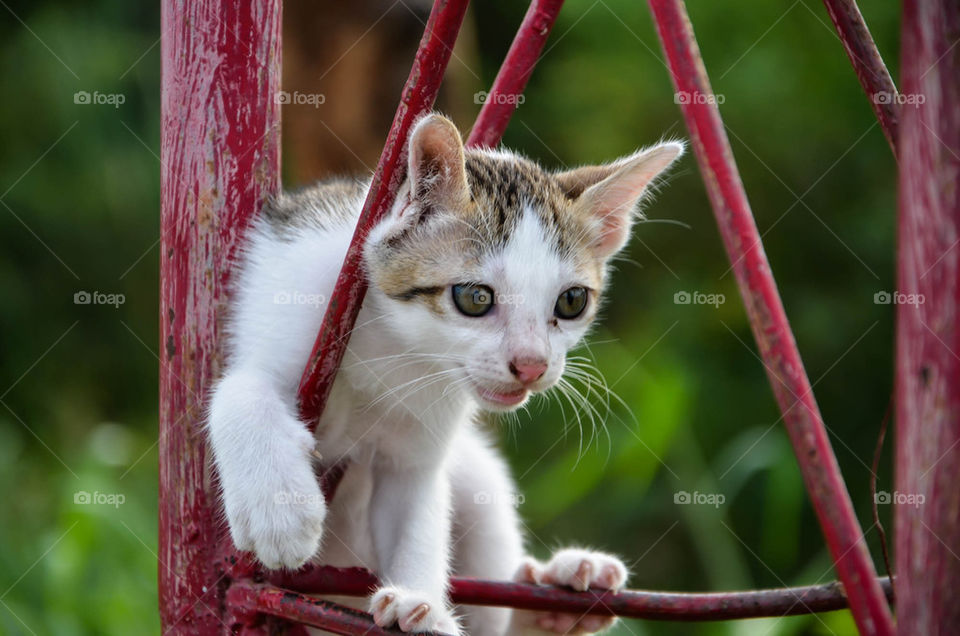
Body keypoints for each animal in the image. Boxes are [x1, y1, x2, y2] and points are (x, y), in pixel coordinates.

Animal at [208, 114, 684, 636]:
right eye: (474, 298)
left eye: (572, 301)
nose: (532, 365)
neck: (394, 343)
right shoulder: (292, 292)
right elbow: (240, 388)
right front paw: (280, 511)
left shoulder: (418, 451)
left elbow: (416, 512)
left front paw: (417, 602)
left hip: (478, 479)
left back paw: (559, 600)